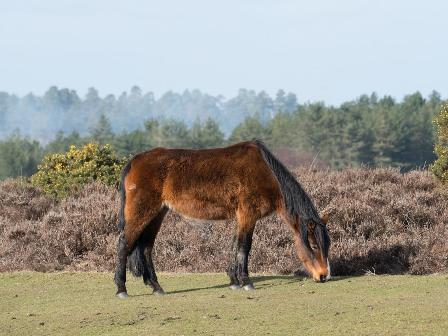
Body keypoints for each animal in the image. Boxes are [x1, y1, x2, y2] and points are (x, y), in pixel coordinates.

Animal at [114, 140, 330, 298]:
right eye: (314, 244)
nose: (324, 276)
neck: (266, 174)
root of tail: (135, 161)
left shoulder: (240, 217)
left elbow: (234, 246)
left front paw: (234, 281)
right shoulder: (248, 215)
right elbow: (244, 247)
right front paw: (246, 281)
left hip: (158, 213)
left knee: (146, 248)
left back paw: (156, 287)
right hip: (142, 212)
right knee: (124, 243)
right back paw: (121, 289)